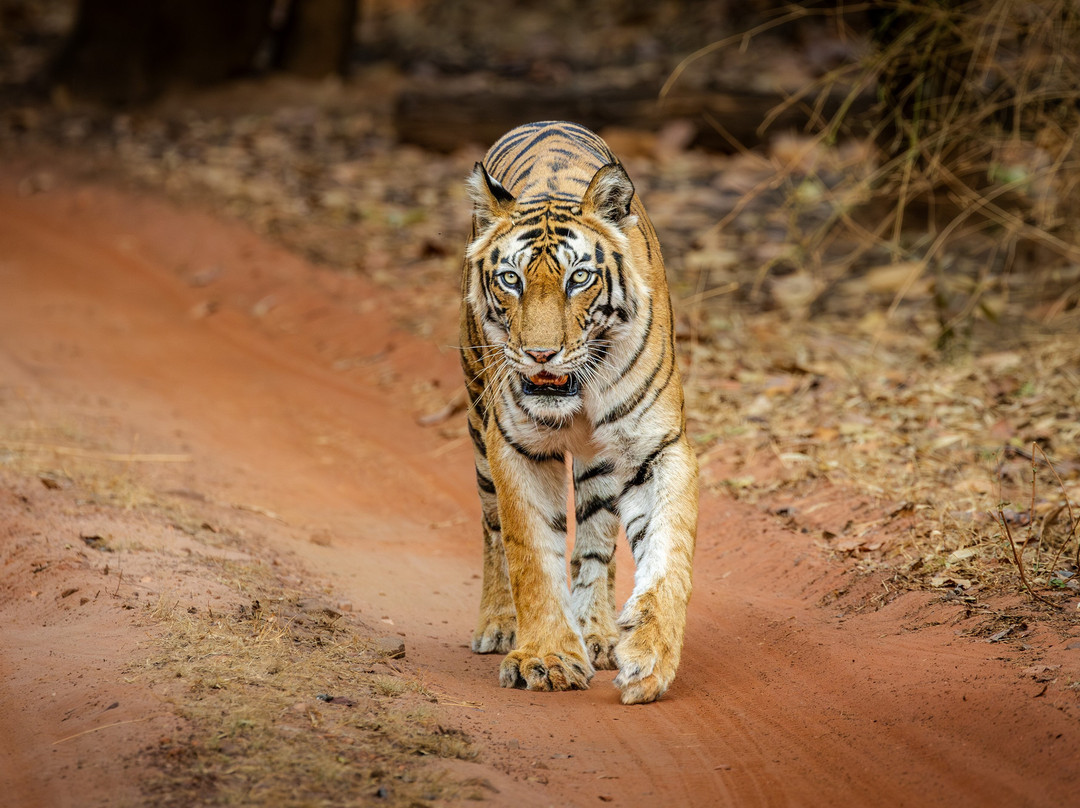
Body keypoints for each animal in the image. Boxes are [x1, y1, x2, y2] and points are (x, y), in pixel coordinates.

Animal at [459, 121, 698, 705]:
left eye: (579, 279)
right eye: (512, 280)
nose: (541, 354)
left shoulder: (656, 446)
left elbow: (668, 553)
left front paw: (649, 659)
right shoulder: (514, 444)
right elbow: (530, 554)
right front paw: (546, 657)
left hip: (601, 463)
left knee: (596, 544)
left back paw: (597, 633)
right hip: (477, 423)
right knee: (492, 530)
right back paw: (500, 626)